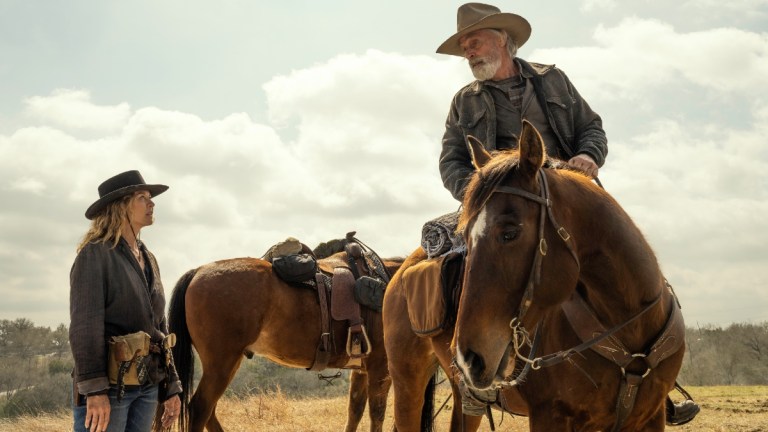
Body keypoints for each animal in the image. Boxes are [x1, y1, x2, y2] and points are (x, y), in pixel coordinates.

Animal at [166, 246, 404, 432]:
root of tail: (198, 271)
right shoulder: (381, 369)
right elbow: (378, 415)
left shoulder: (362, 370)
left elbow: (354, 413)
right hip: (222, 364)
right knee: (200, 409)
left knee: (209, 412)